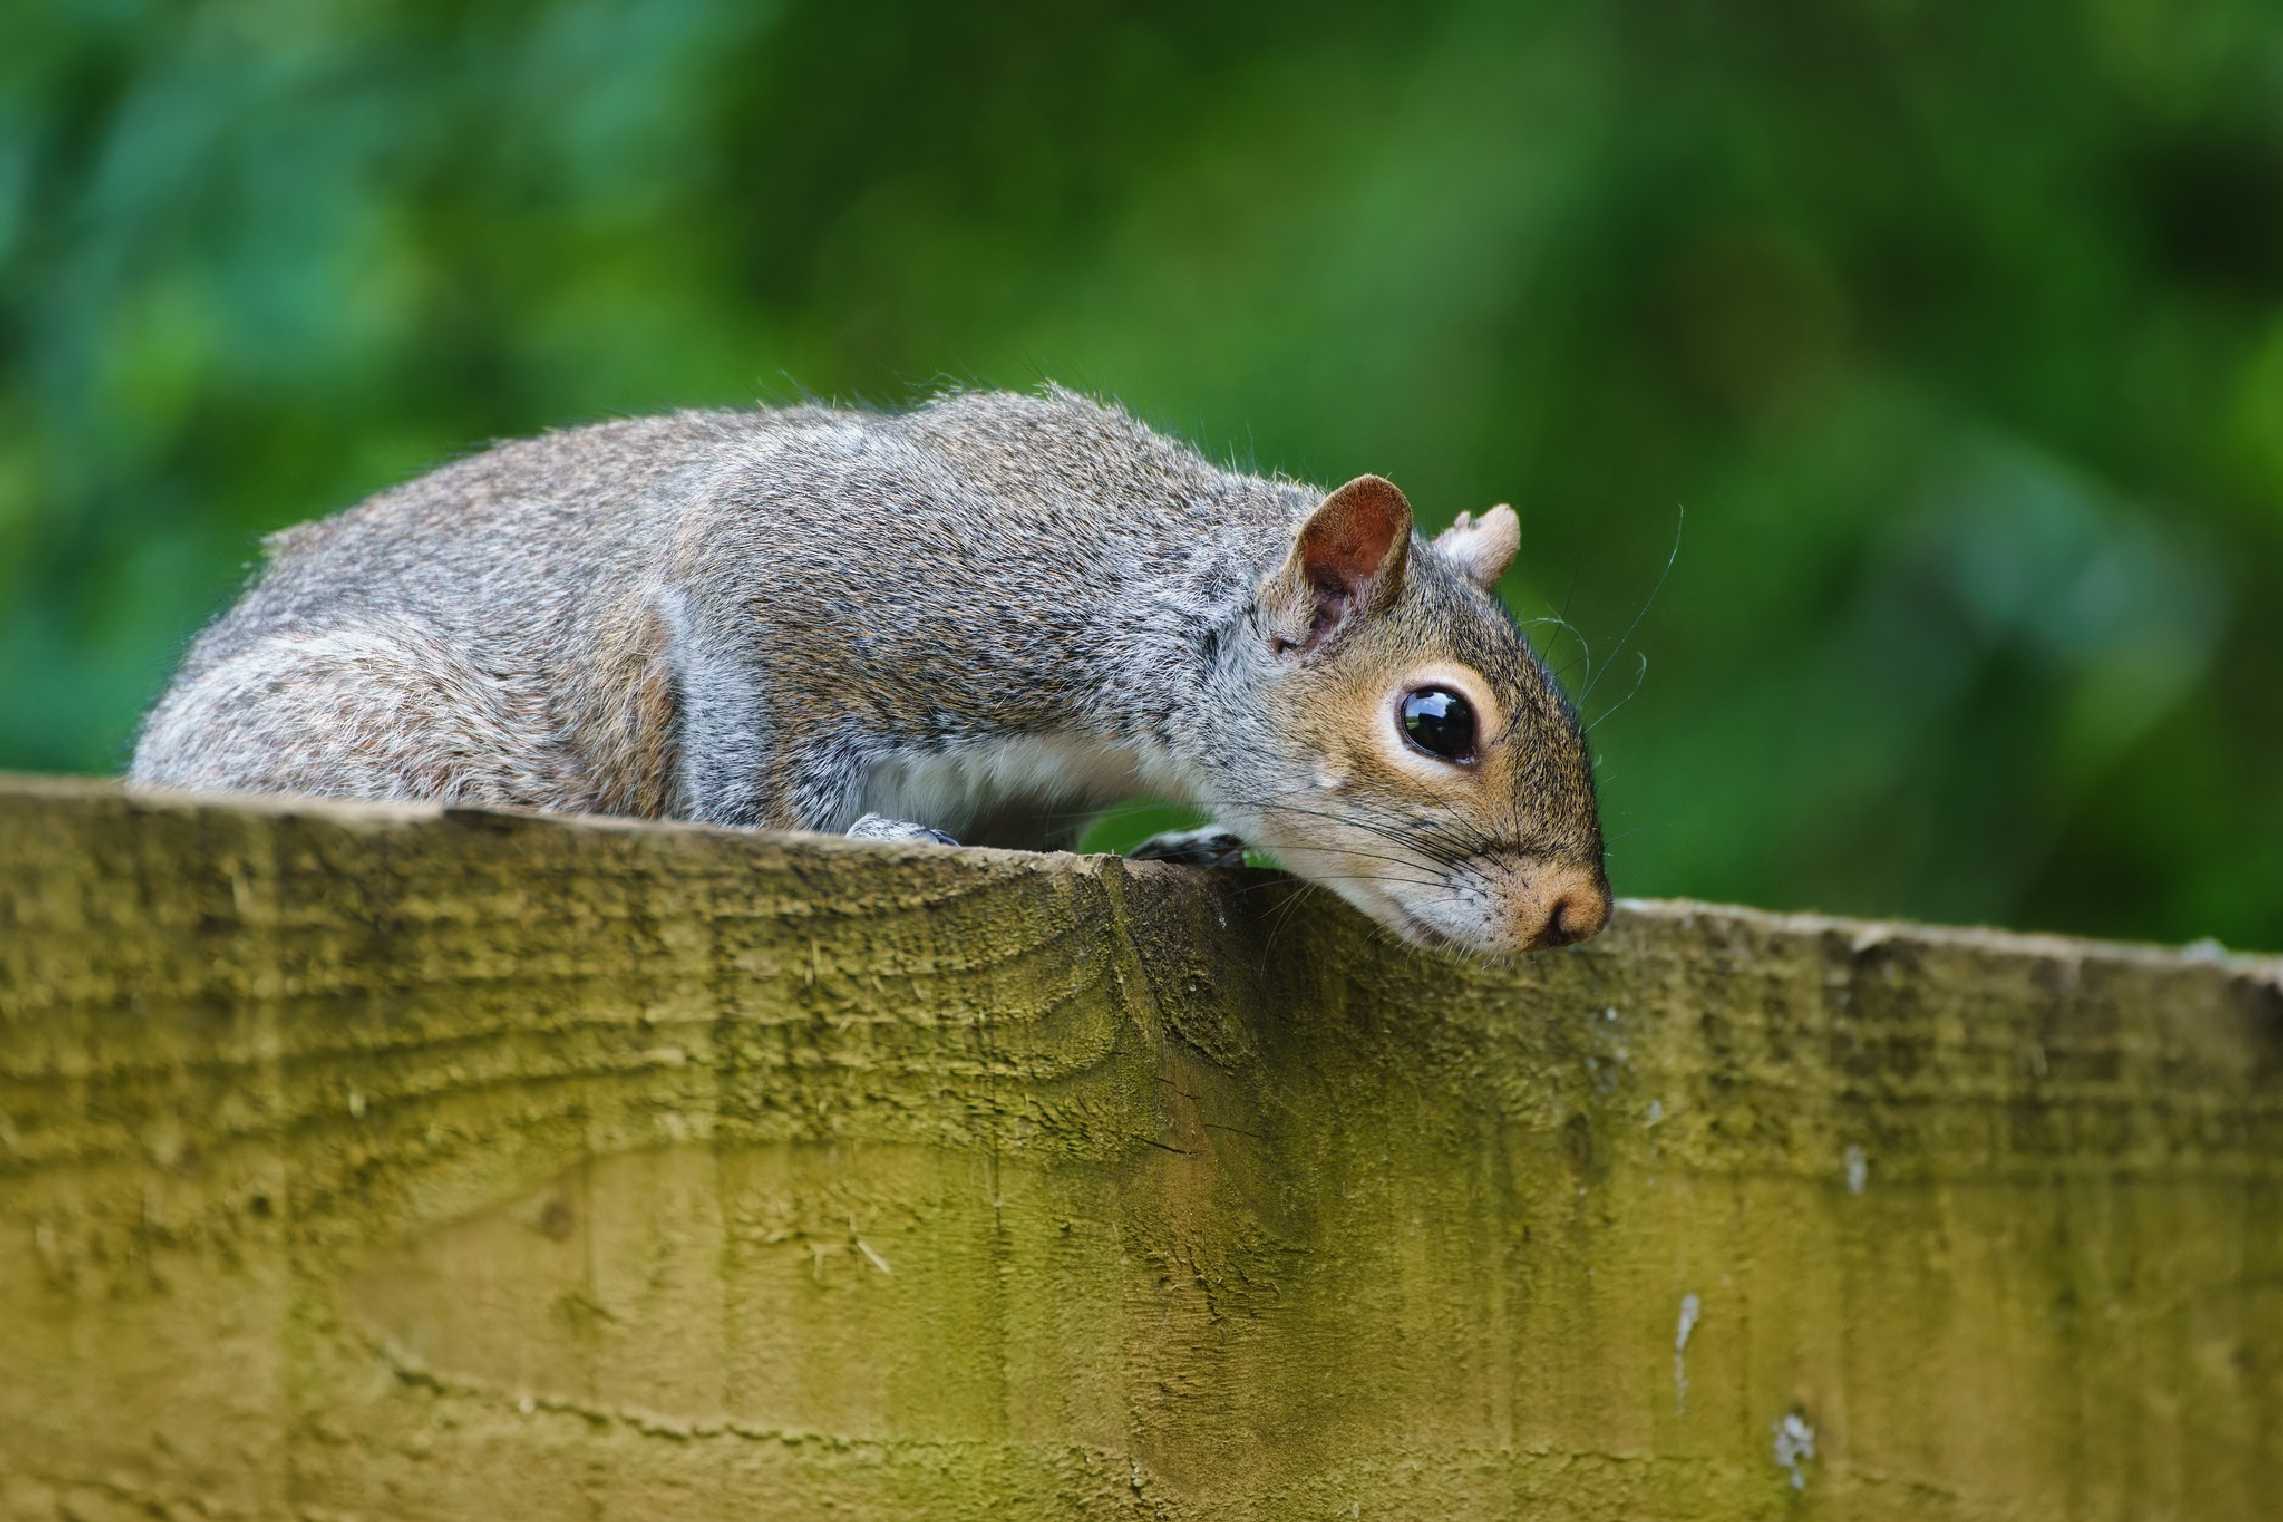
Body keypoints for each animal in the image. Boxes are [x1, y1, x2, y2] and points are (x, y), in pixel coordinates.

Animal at [133, 387, 1616, 944]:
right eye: (1437, 721)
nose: (1575, 915)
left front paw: (1175, 846)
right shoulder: (815, 562)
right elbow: (753, 780)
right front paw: (840, 835)